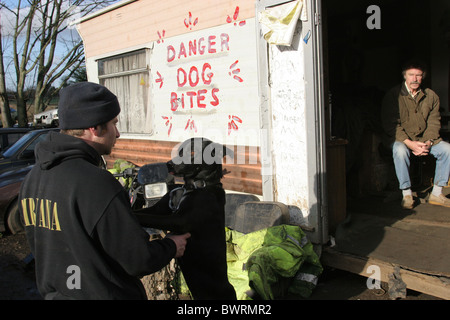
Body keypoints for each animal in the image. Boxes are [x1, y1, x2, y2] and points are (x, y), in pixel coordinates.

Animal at [134, 138, 237, 300]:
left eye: (193, 151)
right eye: (180, 151)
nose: (168, 164)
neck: (194, 186)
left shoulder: (179, 221)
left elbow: (146, 217)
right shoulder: (158, 209)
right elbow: (144, 212)